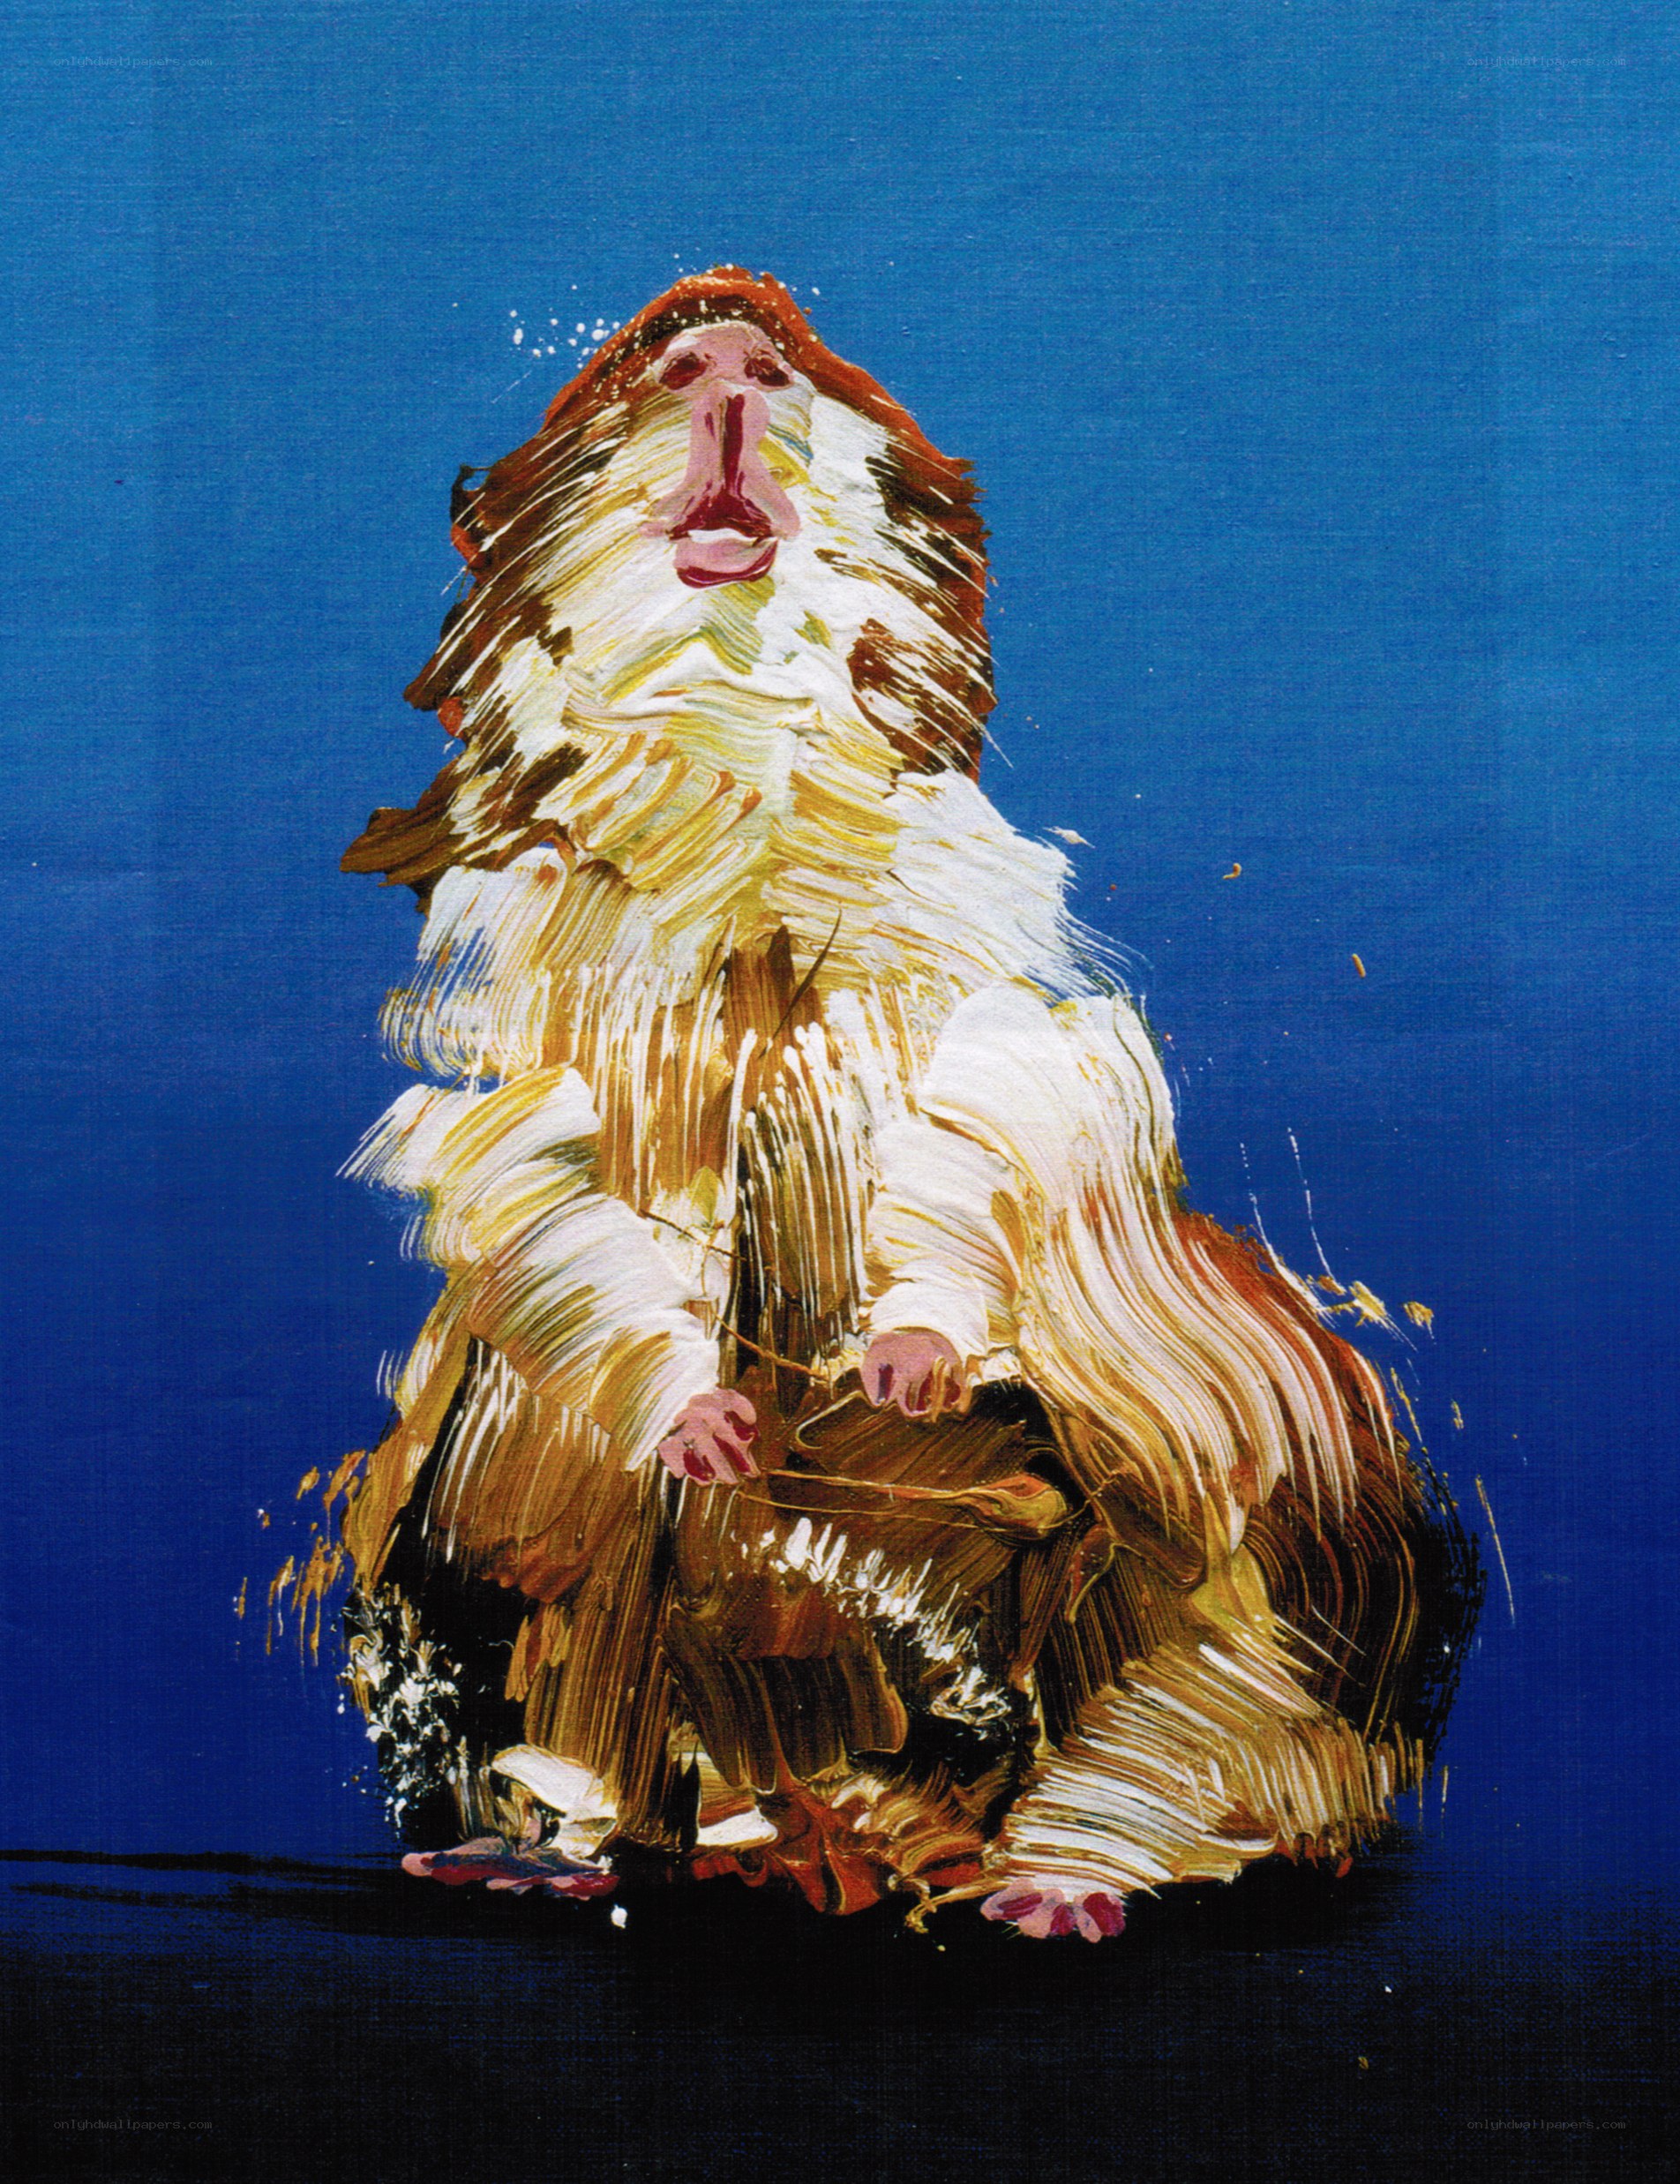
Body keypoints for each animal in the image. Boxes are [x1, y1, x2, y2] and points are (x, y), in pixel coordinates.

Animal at [334, 268, 1477, 1938]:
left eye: (788, 372)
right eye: (645, 368)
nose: (724, 353)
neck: (734, 755)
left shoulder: (976, 896)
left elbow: (1024, 1069)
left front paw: (915, 1348)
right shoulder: (509, 941)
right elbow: (512, 1138)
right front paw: (696, 1417)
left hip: (1223, 1540)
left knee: (1197, 1669)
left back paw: (1064, 1860)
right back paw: (579, 1831)